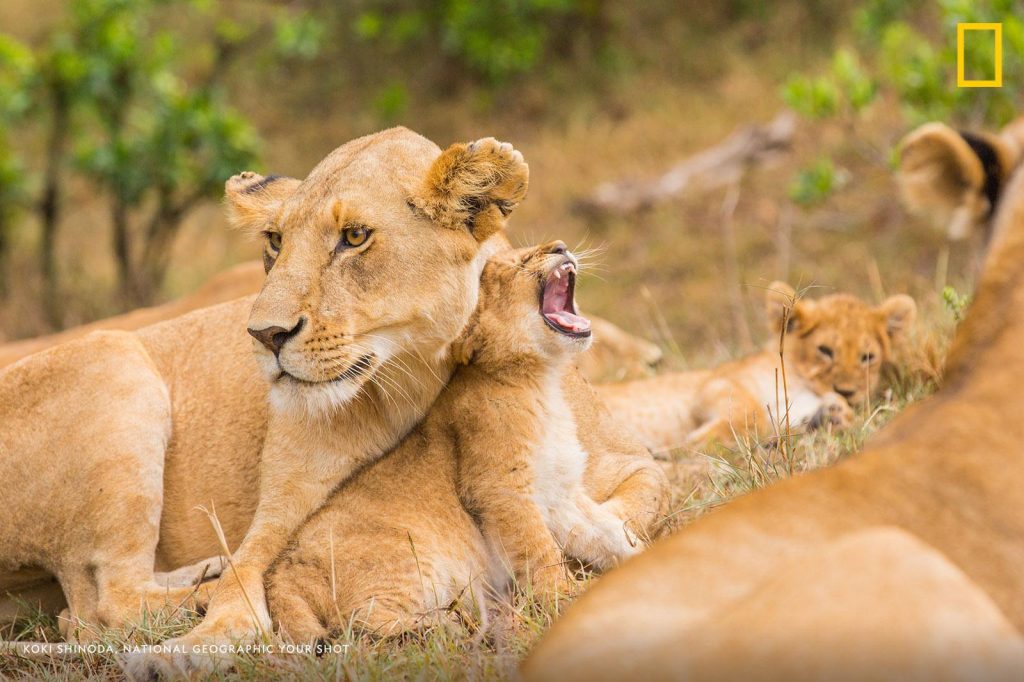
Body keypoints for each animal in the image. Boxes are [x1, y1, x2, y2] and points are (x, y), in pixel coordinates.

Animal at [264, 243, 668, 641]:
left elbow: (608, 532)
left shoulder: (561, 493)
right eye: (518, 263)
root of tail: (278, 577)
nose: (560, 246)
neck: (543, 379)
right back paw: (450, 627)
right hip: (408, 561)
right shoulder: (500, 489)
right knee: (361, 625)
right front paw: (569, 596)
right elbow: (541, 551)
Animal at [596, 283, 916, 452]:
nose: (847, 391)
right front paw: (684, 445)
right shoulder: (715, 383)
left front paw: (833, 414)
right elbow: (751, 414)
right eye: (825, 351)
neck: (801, 383)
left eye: (867, 357)